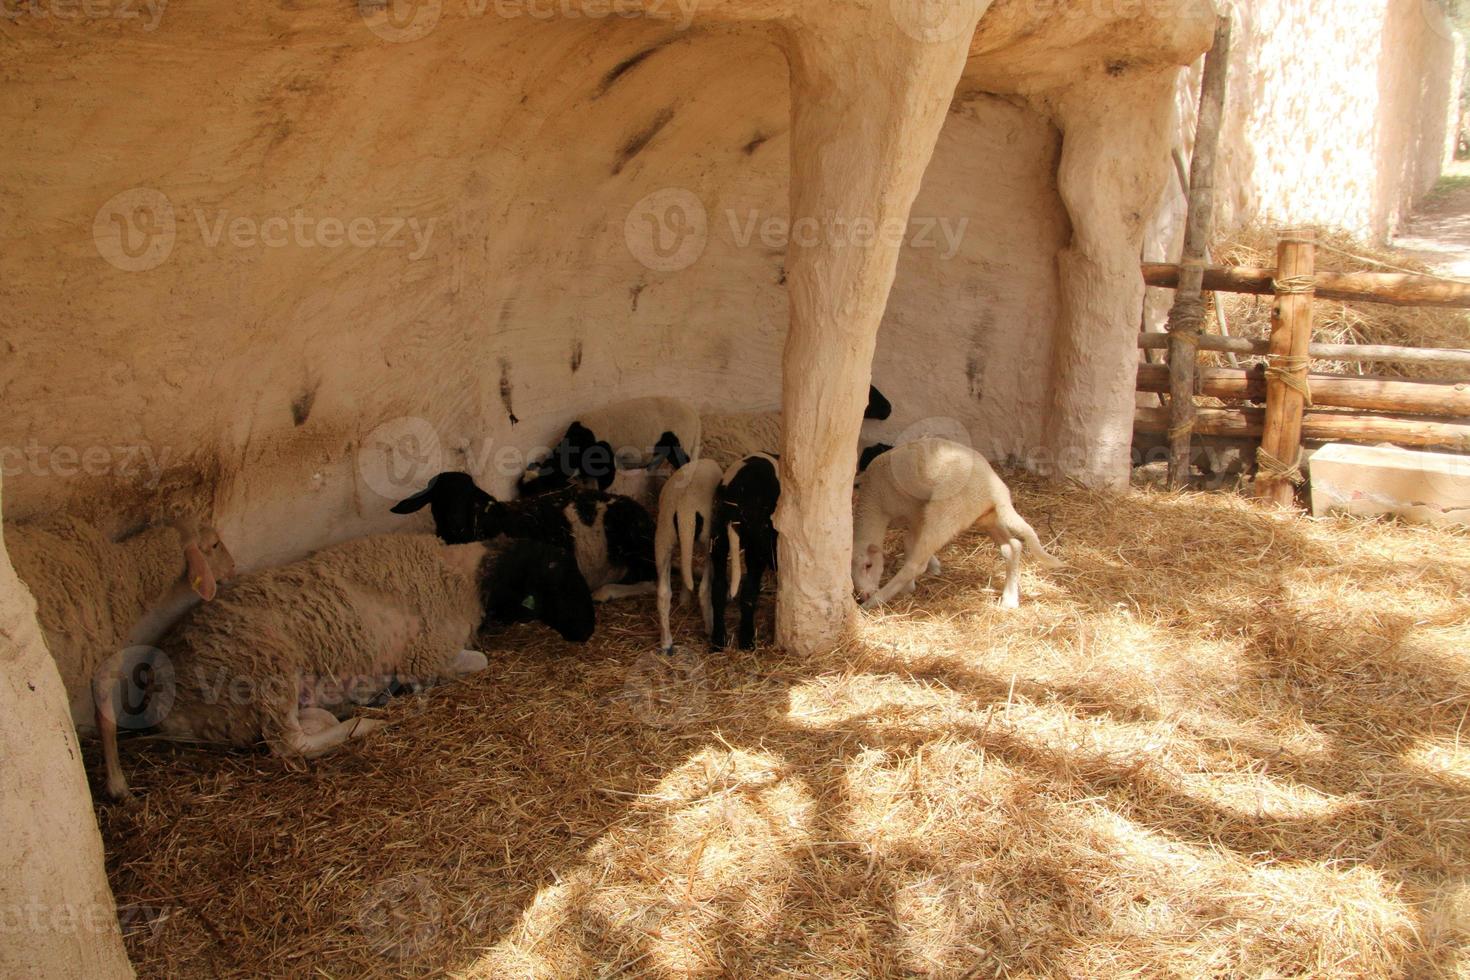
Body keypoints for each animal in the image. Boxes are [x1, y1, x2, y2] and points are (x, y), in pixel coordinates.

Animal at [6, 514, 235, 799]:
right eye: (214, 544)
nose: (233, 568)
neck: (124, 570)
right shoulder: (104, 652)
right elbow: (106, 721)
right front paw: (118, 787)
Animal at [120, 531, 590, 793]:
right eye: (560, 578)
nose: (587, 630)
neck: (465, 573)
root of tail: (165, 696)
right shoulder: (426, 654)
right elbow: (478, 661)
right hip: (262, 666)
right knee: (289, 745)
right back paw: (364, 725)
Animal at [708, 455, 782, 652]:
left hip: (718, 538)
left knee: (718, 588)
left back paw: (718, 641)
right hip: (757, 544)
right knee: (748, 591)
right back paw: (747, 640)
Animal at [852, 437, 1070, 608]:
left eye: (868, 565)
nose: (864, 594)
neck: (876, 505)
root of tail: (997, 491)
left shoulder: (916, 512)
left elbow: (909, 543)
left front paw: (915, 582)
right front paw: (932, 567)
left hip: (945, 513)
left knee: (915, 564)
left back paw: (874, 603)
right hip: (985, 516)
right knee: (1013, 546)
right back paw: (1009, 598)